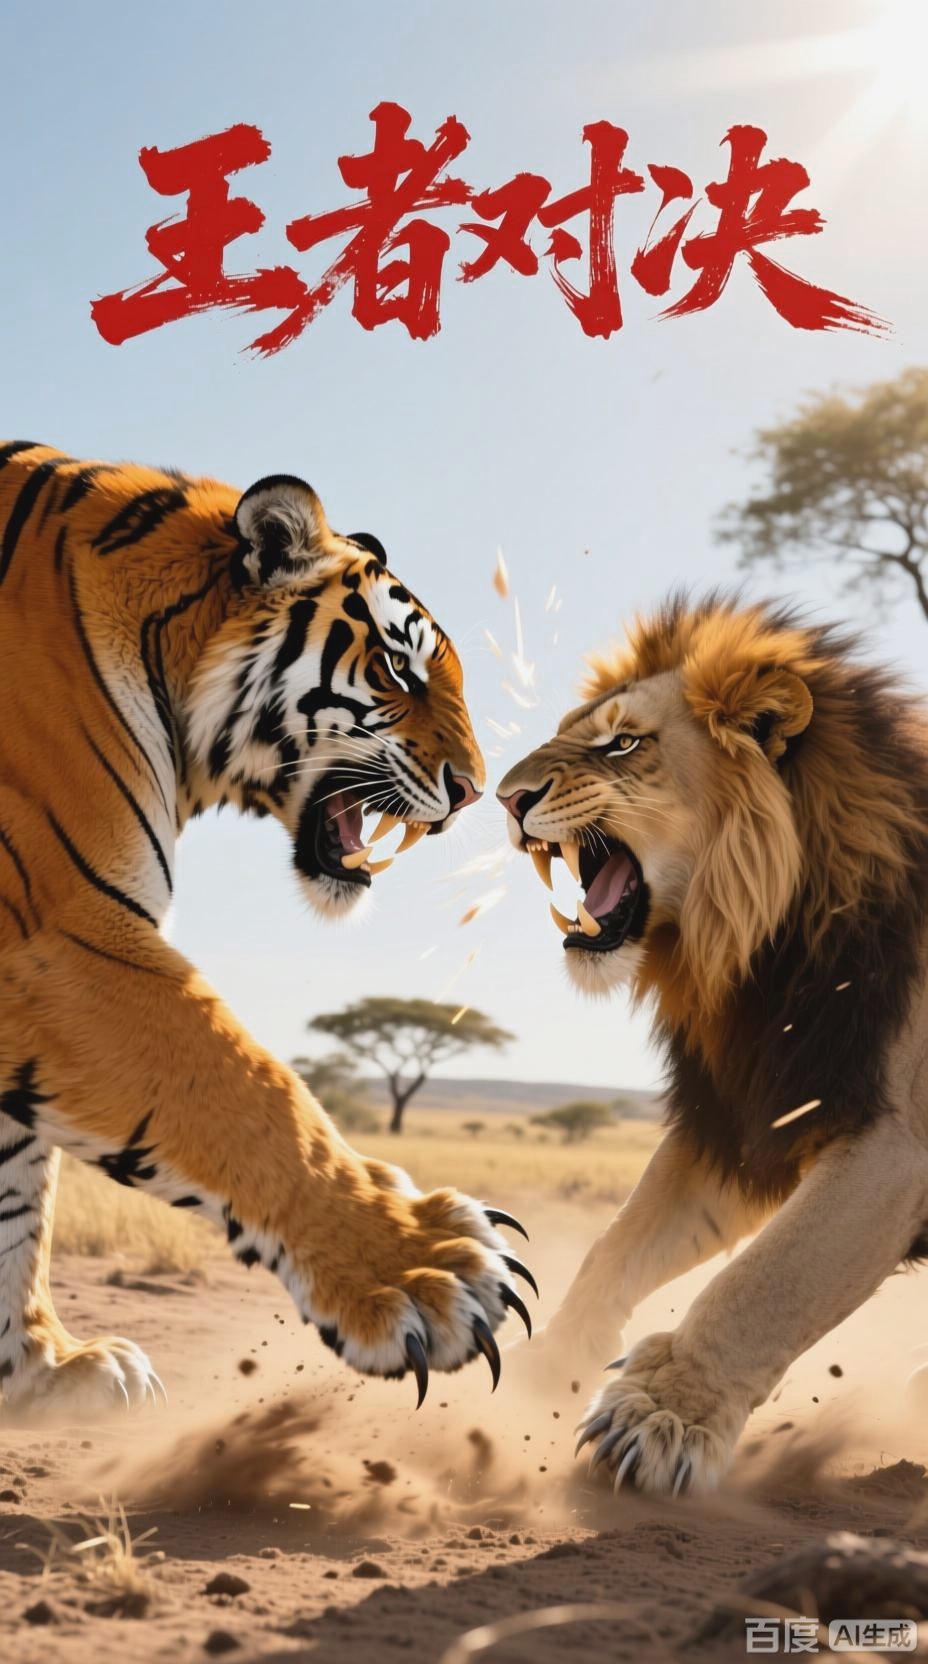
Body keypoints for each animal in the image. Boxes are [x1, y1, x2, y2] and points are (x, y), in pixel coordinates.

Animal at [0, 441, 533, 1421]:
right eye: (400, 672)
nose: (478, 790)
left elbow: (18, 1197)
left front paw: (45, 1372)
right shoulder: (56, 933)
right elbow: (245, 1089)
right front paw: (419, 1268)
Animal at [498, 592, 928, 1496]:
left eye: (623, 743)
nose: (503, 797)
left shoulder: (896, 1145)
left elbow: (767, 1281)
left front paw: (658, 1418)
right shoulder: (748, 1114)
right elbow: (617, 1247)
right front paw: (540, 1375)